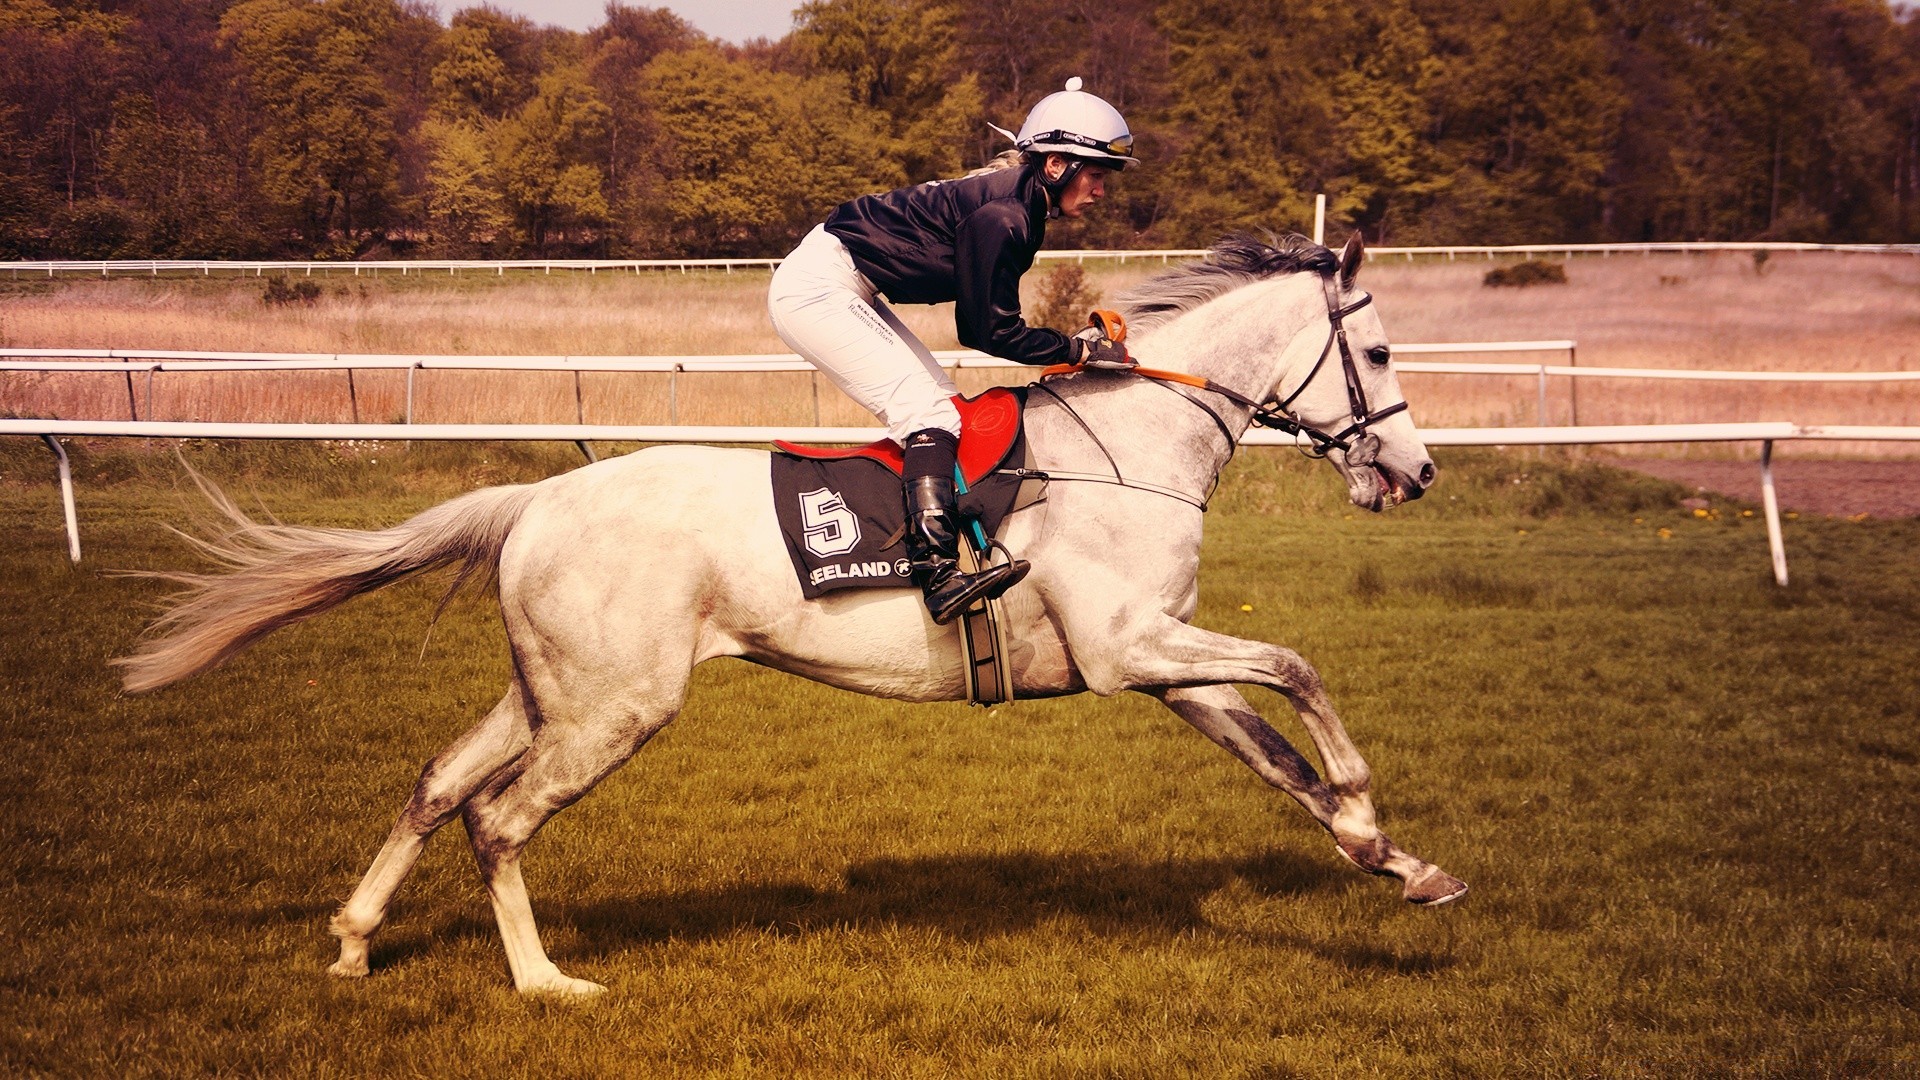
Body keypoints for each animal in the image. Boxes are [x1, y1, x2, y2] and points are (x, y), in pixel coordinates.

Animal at [116, 233, 1466, 991]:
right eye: (1382, 357)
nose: (1414, 475)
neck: (1131, 447)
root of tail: (537, 496)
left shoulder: (1158, 664)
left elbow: (1276, 747)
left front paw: (1394, 859)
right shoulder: (1131, 649)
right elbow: (1300, 669)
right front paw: (1367, 807)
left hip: (551, 688)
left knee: (438, 783)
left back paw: (354, 939)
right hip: (618, 706)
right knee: (498, 820)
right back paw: (546, 983)